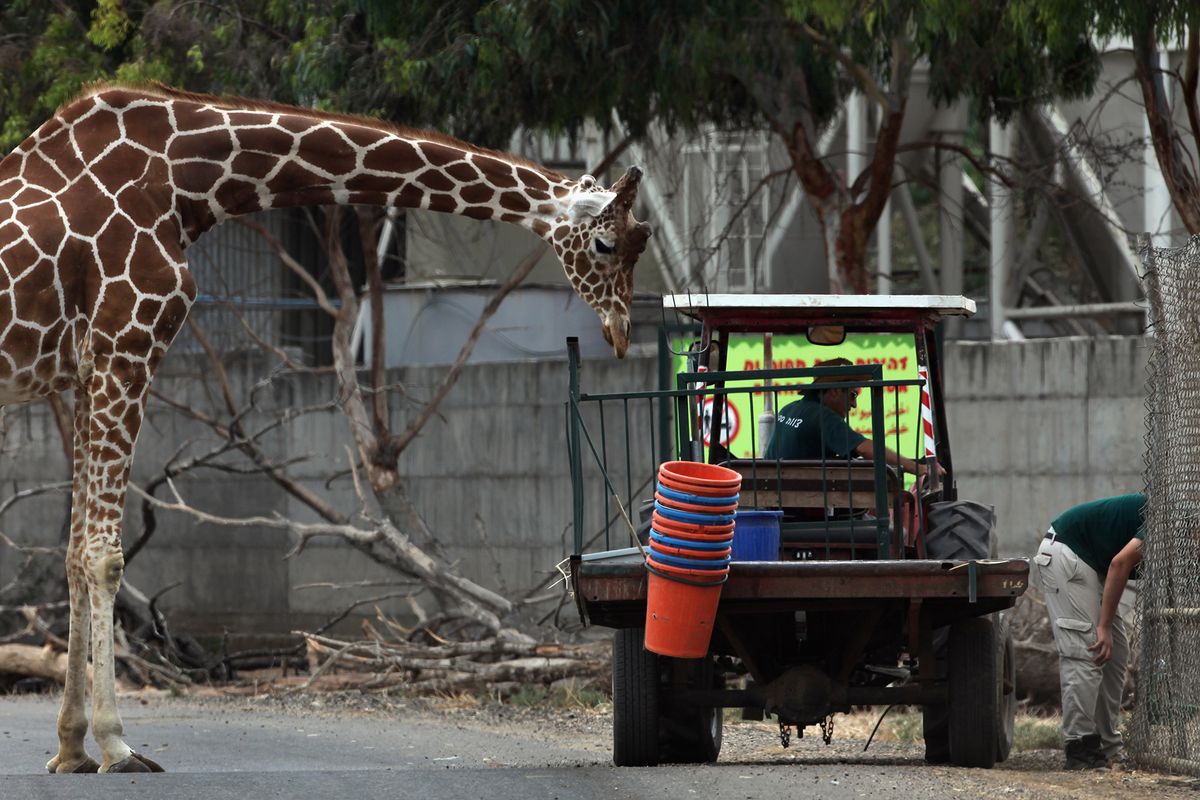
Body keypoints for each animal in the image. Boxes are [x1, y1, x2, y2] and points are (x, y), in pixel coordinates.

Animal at [0, 82, 648, 777]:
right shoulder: (126, 345)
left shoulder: (84, 370)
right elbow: (103, 555)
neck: (188, 181)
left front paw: (70, 747)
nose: (619, 332)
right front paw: (118, 744)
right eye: (608, 244)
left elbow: (72, 553)